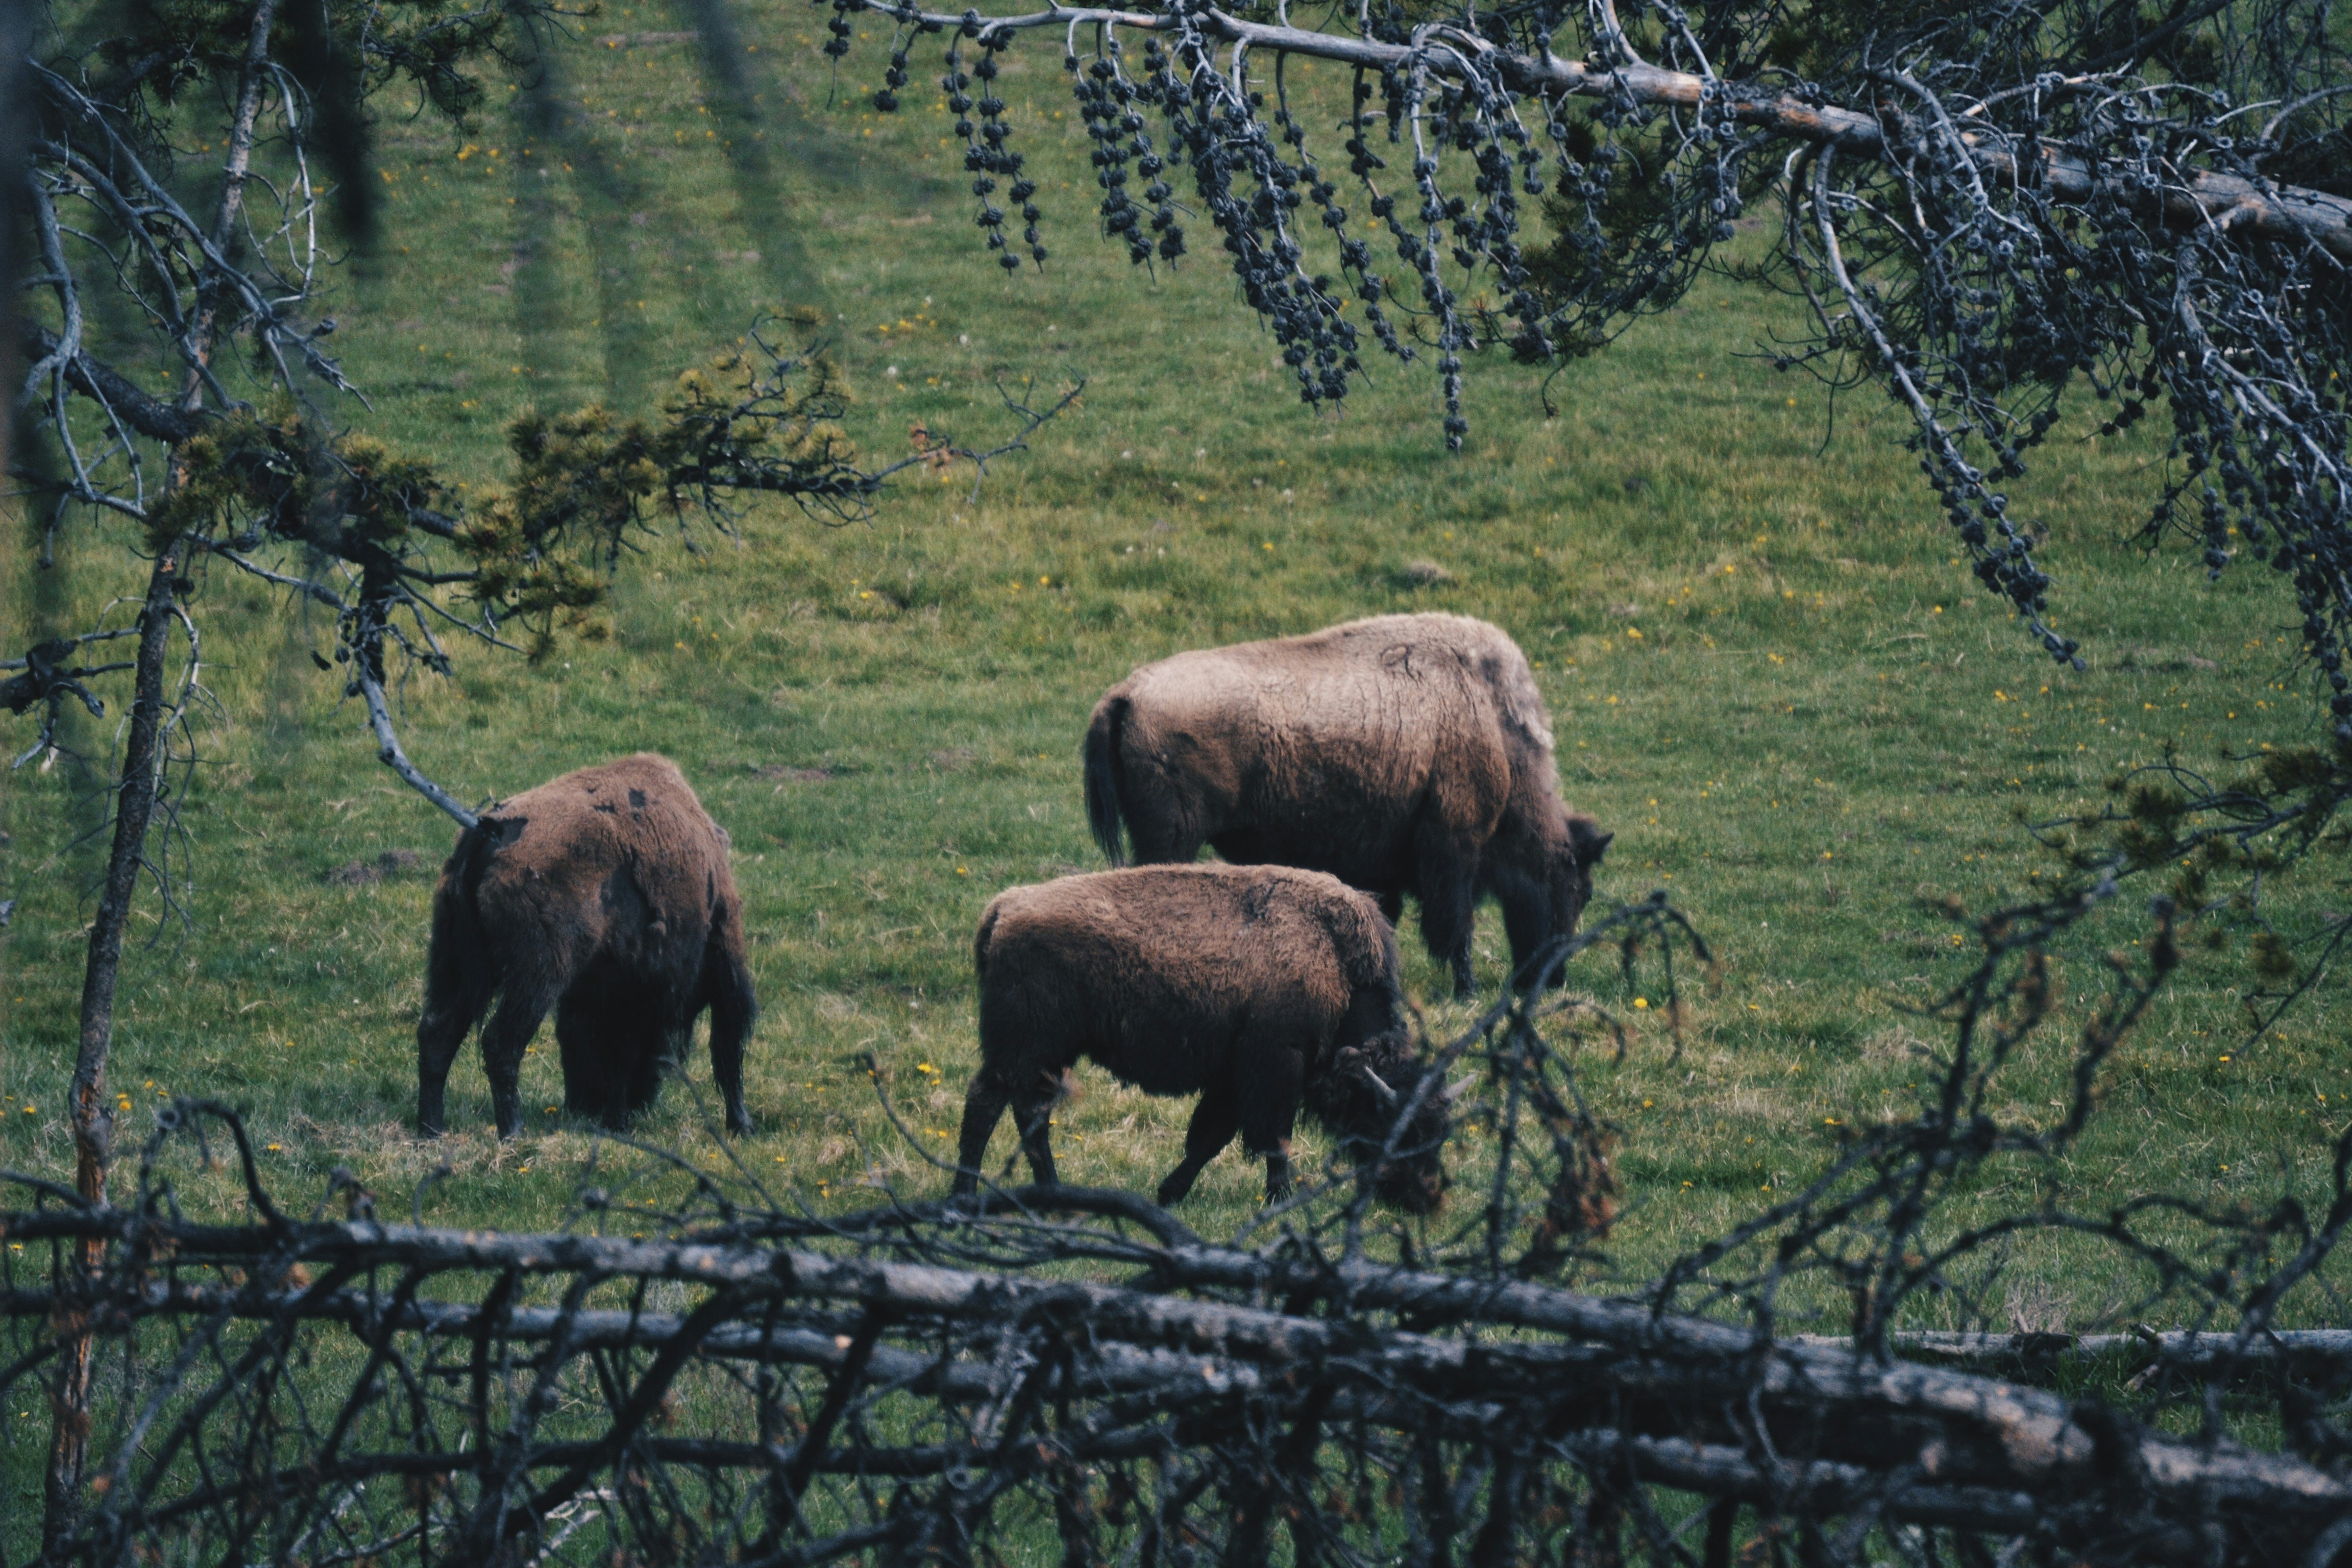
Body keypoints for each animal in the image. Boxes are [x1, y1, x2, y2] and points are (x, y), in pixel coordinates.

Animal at [416, 753, 756, 1138]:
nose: (582, 1104)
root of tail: (486, 835)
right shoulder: (722, 959)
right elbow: (728, 1045)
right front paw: (742, 1124)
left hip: (458, 963)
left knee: (436, 1034)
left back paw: (430, 1131)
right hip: (538, 975)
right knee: (500, 1042)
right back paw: (513, 1132)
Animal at [952, 863, 1450, 1211]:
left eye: (1440, 1131)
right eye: (1401, 1130)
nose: (1424, 1199)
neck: (1333, 957)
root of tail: (1003, 909)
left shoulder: (1234, 1077)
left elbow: (1210, 1138)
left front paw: (1169, 1193)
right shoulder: (1276, 1067)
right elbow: (1274, 1139)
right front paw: (1281, 1198)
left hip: (1048, 1055)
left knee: (1029, 1113)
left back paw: (1052, 1195)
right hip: (1022, 1048)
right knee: (986, 1104)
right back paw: (964, 1197)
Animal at [1083, 613, 1610, 998]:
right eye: (1576, 889)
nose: (1553, 982)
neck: (1492, 725)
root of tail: (1125, 695)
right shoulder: (1453, 847)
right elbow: (1456, 927)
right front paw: (1468, 992)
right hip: (1173, 839)